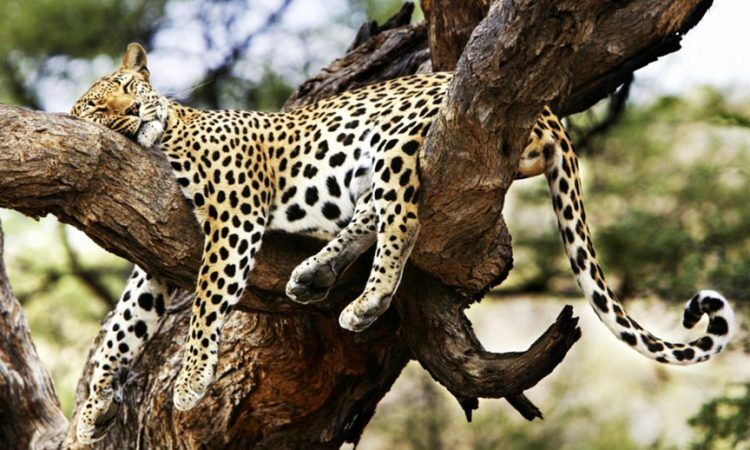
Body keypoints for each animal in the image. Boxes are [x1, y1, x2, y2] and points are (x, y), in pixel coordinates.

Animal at [70, 43, 734, 444]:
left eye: (129, 87)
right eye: (97, 109)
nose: (132, 113)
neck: (167, 135)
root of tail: (547, 109)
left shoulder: (234, 217)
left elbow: (208, 306)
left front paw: (187, 384)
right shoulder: (156, 256)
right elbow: (123, 328)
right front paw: (91, 410)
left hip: (394, 140)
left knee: (404, 218)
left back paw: (365, 301)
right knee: (374, 213)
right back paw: (314, 274)